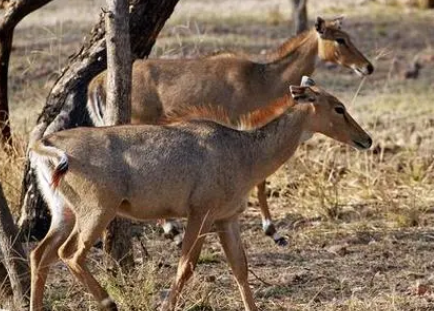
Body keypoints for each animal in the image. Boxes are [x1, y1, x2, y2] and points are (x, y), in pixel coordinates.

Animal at [28, 76, 372, 311]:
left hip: (64, 213)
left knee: (40, 254)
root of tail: (46, 144)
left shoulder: (226, 219)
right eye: (339, 108)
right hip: (97, 211)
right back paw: (108, 301)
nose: (366, 139)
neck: (245, 151)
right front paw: (165, 306)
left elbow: (240, 268)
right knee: (69, 254)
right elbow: (187, 266)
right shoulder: (201, 213)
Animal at [87, 17, 372, 247]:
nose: (368, 67)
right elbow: (261, 179)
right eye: (340, 39)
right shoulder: (242, 122)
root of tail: (96, 83)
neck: (263, 78)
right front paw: (273, 231)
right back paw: (171, 231)